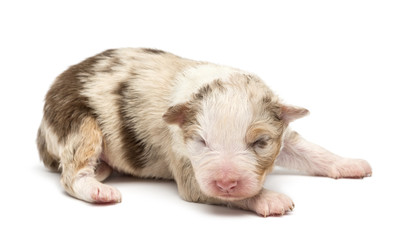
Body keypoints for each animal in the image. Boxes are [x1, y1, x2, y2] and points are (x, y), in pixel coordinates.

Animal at [36, 47, 372, 217]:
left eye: (260, 142)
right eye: (201, 141)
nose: (225, 182)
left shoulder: (282, 135)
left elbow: (310, 150)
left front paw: (351, 164)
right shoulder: (186, 165)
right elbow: (212, 192)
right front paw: (272, 200)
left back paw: (103, 170)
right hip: (79, 124)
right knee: (71, 175)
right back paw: (99, 190)